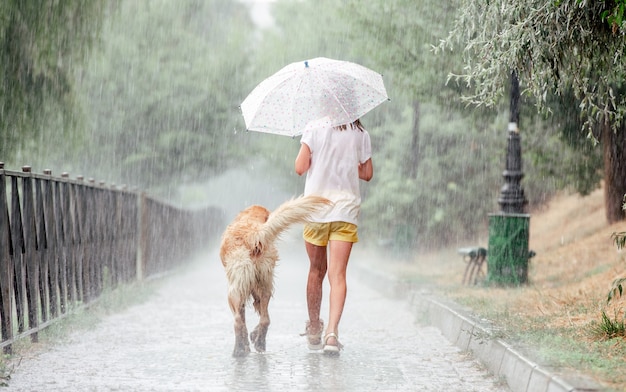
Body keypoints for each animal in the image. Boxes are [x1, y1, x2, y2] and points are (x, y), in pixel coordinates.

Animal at [218, 194, 330, 356]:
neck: (249, 219)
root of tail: (254, 235)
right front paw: (252, 338)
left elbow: (243, 320)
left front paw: (245, 345)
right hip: (265, 285)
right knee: (265, 319)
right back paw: (260, 343)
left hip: (234, 292)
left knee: (238, 321)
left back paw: (238, 351)